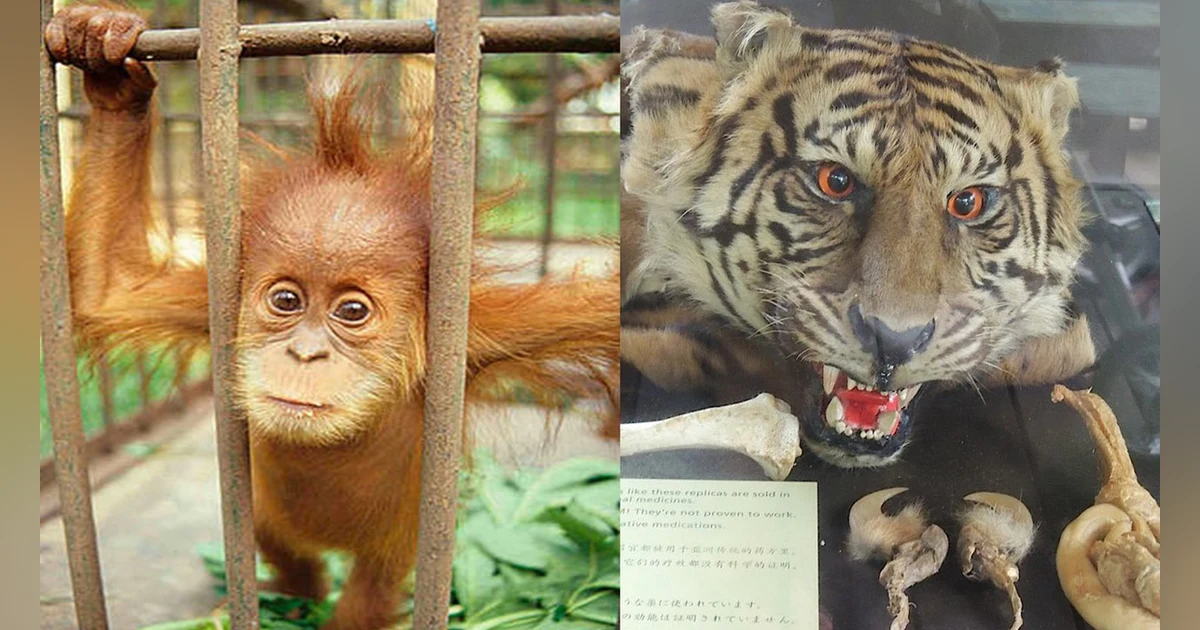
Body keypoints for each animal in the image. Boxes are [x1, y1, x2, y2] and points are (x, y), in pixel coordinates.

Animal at [44, 4, 619, 629]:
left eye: (351, 311)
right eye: (286, 301)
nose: (305, 352)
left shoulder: (487, 334)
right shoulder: (209, 302)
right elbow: (108, 291)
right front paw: (105, 58)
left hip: (394, 550)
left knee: (368, 591)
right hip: (270, 521)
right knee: (289, 550)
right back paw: (287, 593)